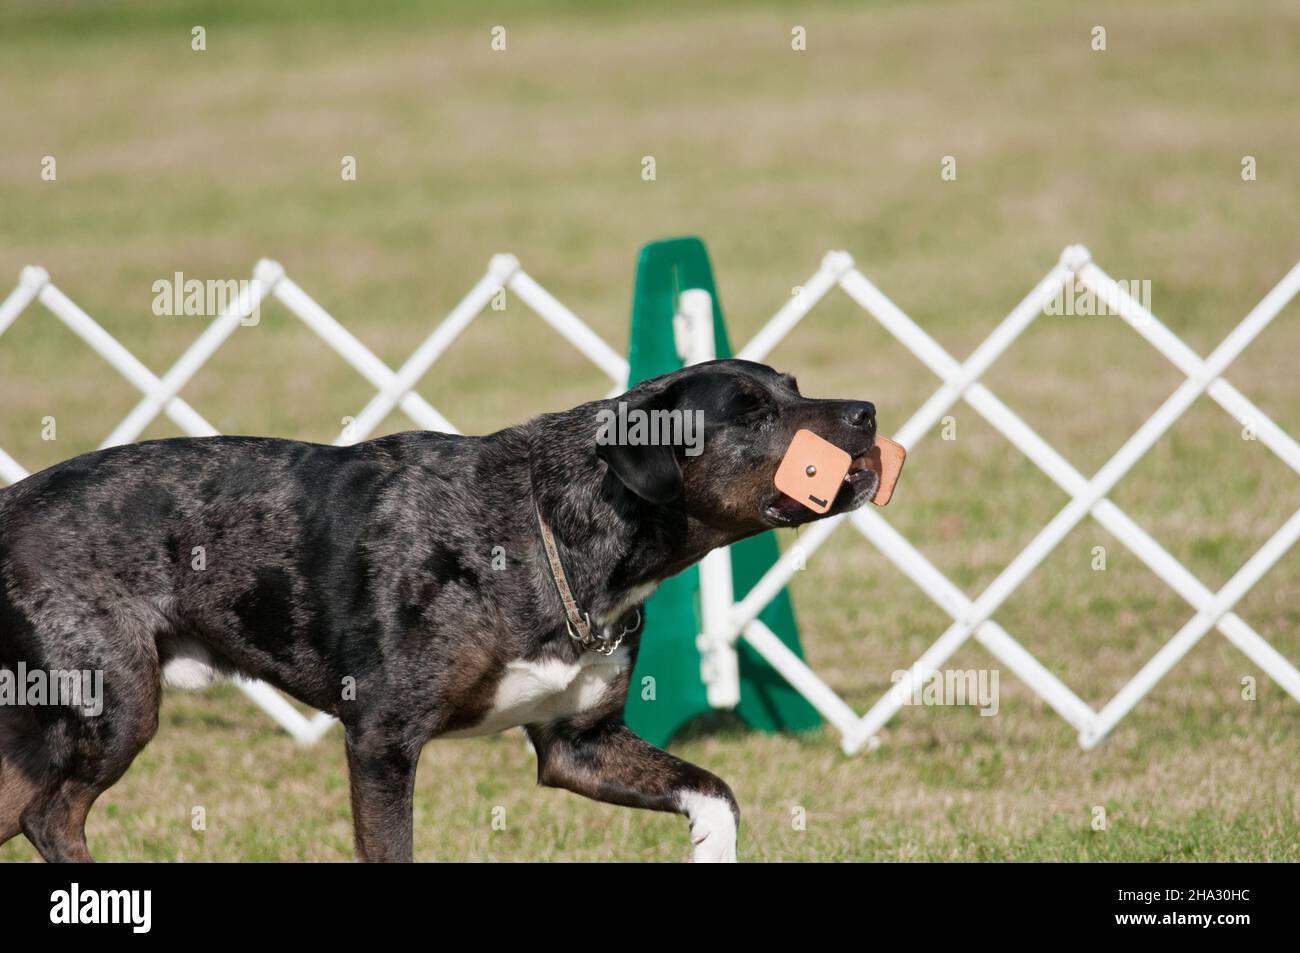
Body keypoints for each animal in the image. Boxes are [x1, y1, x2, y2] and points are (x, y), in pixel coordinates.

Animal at [0, 356, 878, 863]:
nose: (866, 410)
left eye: (795, 389)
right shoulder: (383, 743)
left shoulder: (581, 745)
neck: (547, 529)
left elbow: (714, 792)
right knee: (52, 817)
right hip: (115, 703)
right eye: (749, 409)